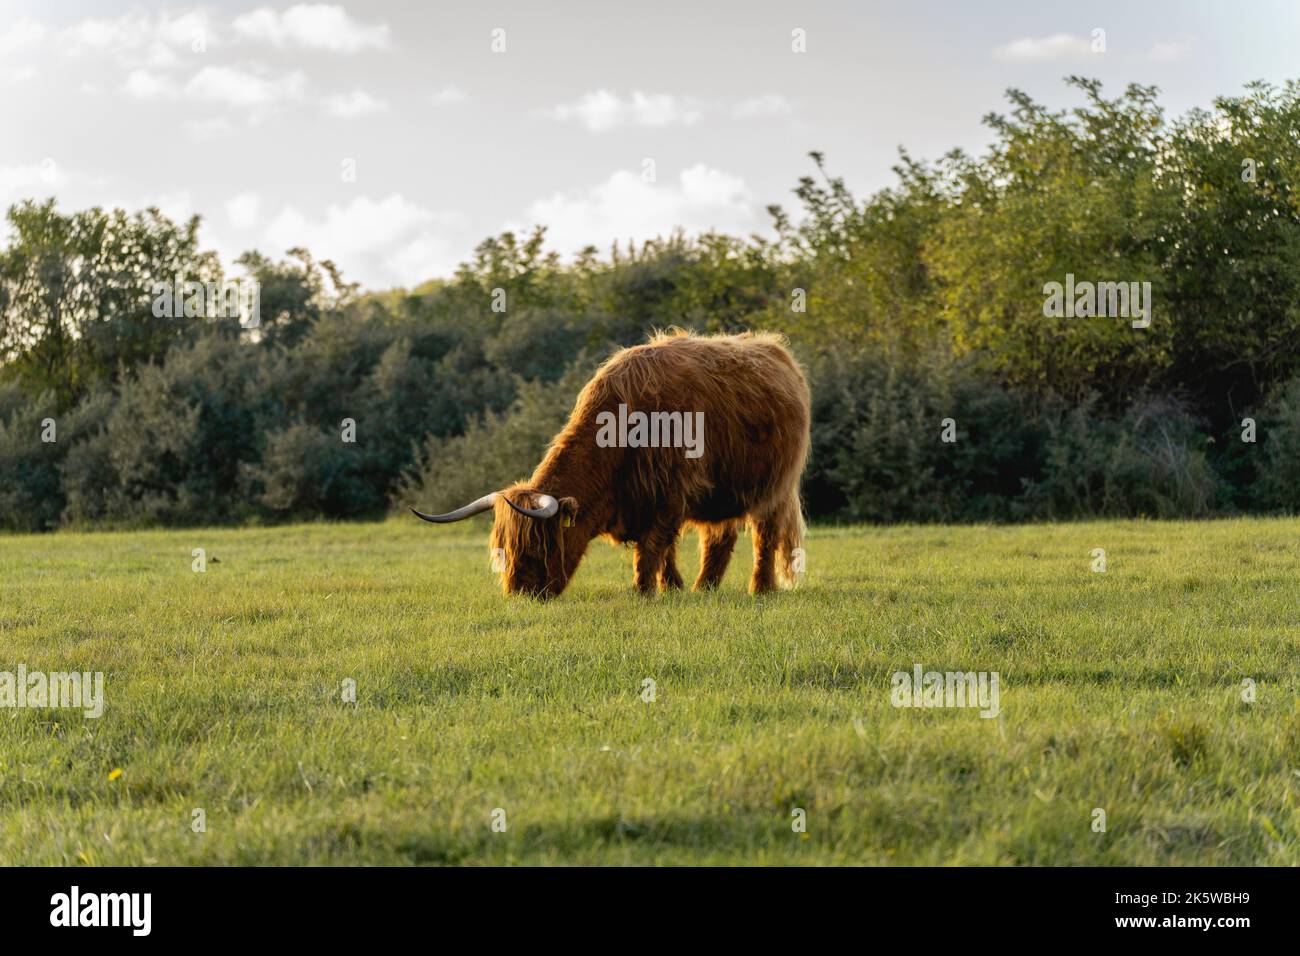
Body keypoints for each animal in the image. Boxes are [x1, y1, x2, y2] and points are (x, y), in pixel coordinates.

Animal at [410, 330, 806, 598]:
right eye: (503, 550)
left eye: (540, 547)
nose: (521, 593)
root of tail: (775, 349)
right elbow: (666, 551)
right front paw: (673, 589)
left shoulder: (671, 493)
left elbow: (653, 547)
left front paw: (644, 592)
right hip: (722, 492)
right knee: (719, 537)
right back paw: (703, 588)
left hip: (775, 486)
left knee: (765, 535)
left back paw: (761, 588)